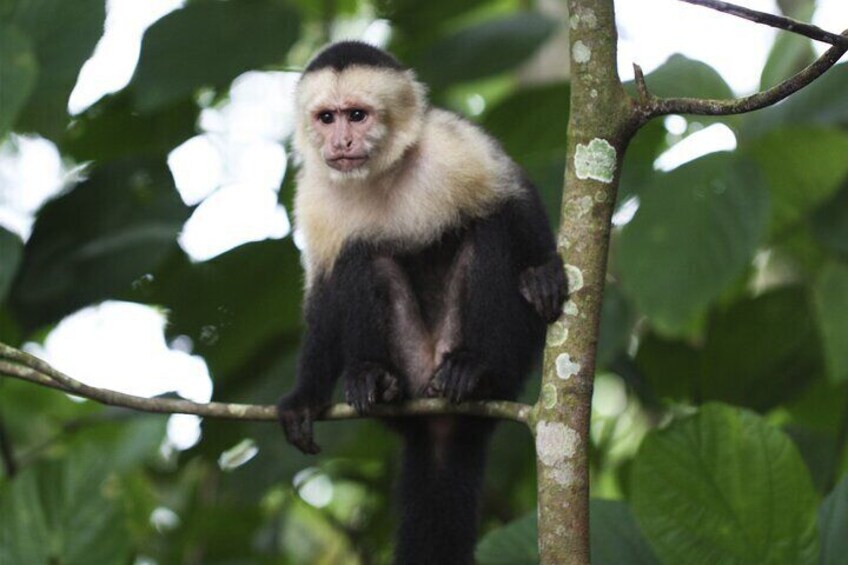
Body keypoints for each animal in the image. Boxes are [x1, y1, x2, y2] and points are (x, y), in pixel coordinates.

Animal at [280, 41, 568, 564]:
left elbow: (511, 195)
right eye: (327, 117)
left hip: (500, 363)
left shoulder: (450, 144)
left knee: (488, 229)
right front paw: (304, 398)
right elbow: (324, 293)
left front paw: (542, 271)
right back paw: (376, 379)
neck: (378, 175)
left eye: (357, 115)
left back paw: (474, 370)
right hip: (413, 366)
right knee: (360, 255)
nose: (342, 142)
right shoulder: (314, 194)